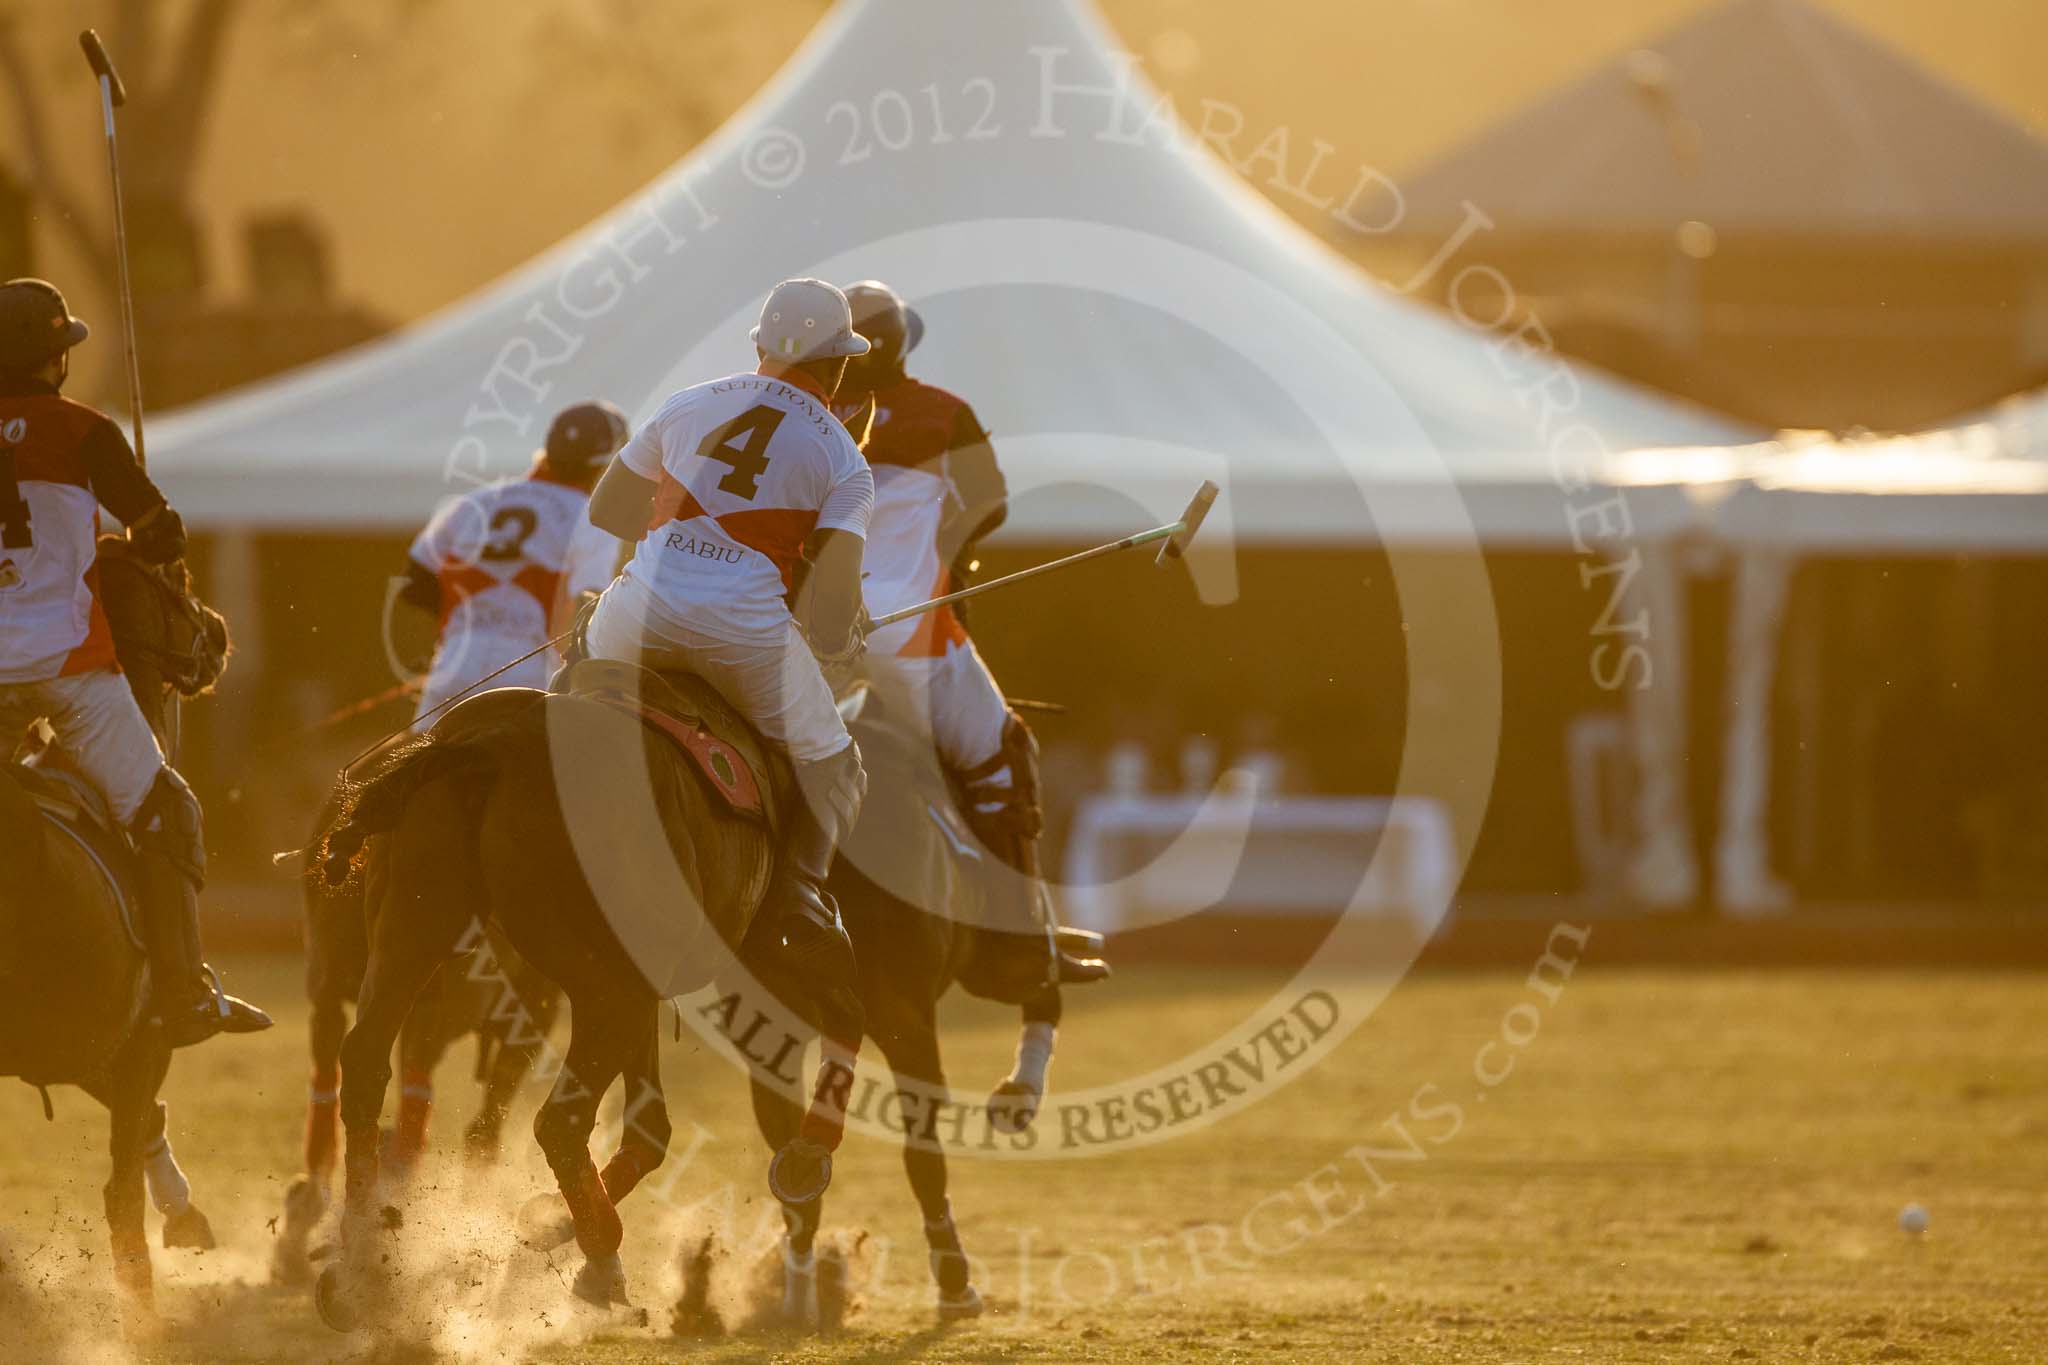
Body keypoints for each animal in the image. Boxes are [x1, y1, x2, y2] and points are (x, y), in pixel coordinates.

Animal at [0, 540, 228, 1317]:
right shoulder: (137, 1039)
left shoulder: (88, 1044)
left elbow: (147, 1126)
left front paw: (184, 1211)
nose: (220, 632)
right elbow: (121, 1194)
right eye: (178, 576)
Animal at [309, 679, 864, 1326]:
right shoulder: (762, 957)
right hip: (603, 990)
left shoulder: (647, 988)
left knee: (365, 1062)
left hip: (416, 929)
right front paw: (808, 1152)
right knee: (559, 1121)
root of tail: (492, 742)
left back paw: (358, 1264)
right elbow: (843, 1006)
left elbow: (650, 1128)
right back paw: (602, 1259)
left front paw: (545, 1220)